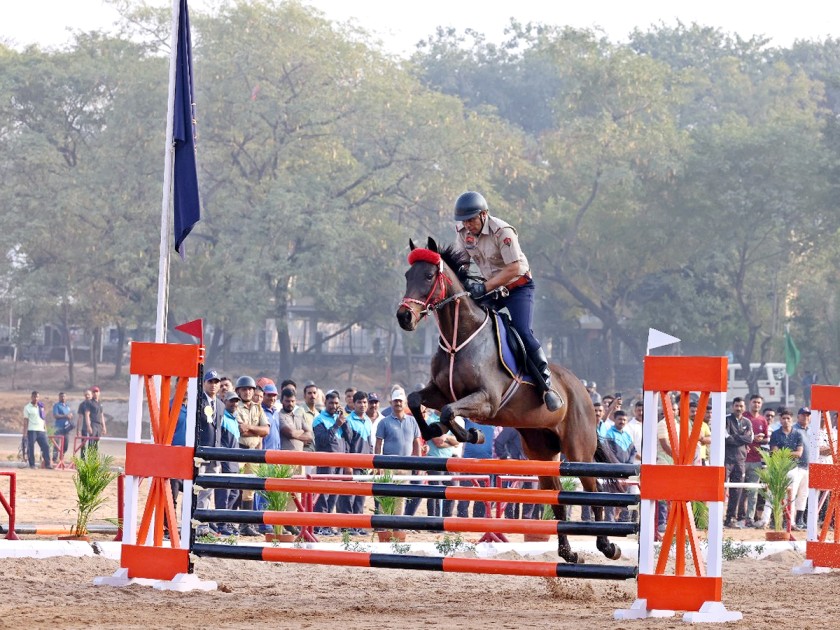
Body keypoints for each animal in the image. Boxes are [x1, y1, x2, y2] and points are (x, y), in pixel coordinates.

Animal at [398, 239, 620, 564]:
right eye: (407, 275)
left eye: (428, 276)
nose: (404, 317)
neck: (458, 338)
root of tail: (581, 390)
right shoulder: (440, 392)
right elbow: (417, 400)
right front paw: (436, 431)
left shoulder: (487, 401)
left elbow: (450, 412)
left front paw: (471, 434)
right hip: (542, 453)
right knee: (558, 499)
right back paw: (568, 553)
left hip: (578, 450)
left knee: (593, 491)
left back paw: (607, 545)